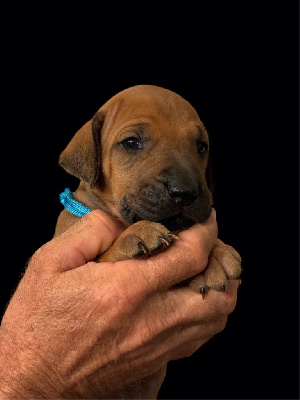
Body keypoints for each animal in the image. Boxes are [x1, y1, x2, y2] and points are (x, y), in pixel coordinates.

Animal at [54, 84, 241, 396]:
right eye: (131, 143)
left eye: (201, 147)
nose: (185, 191)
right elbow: (107, 252)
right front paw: (136, 233)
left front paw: (217, 254)